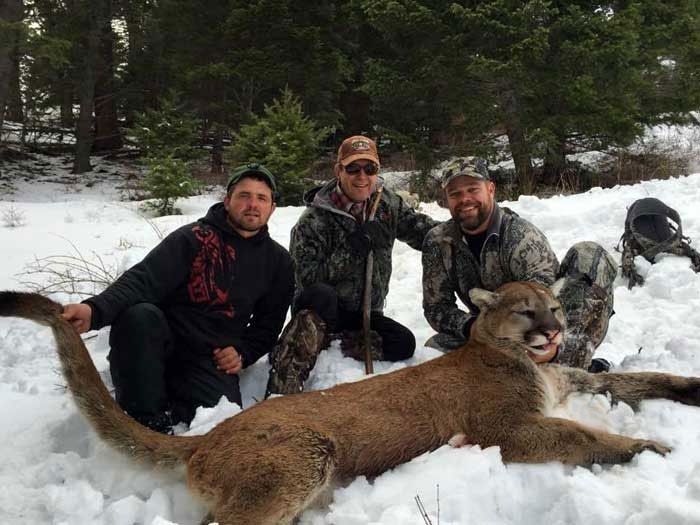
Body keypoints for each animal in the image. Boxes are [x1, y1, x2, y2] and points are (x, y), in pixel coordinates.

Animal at [1, 282, 698, 524]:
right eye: (527, 311)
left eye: (554, 305)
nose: (554, 330)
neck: (523, 361)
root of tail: (206, 438)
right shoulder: (510, 428)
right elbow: (582, 438)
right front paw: (648, 448)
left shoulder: (570, 383)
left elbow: (636, 378)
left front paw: (688, 389)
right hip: (302, 459)